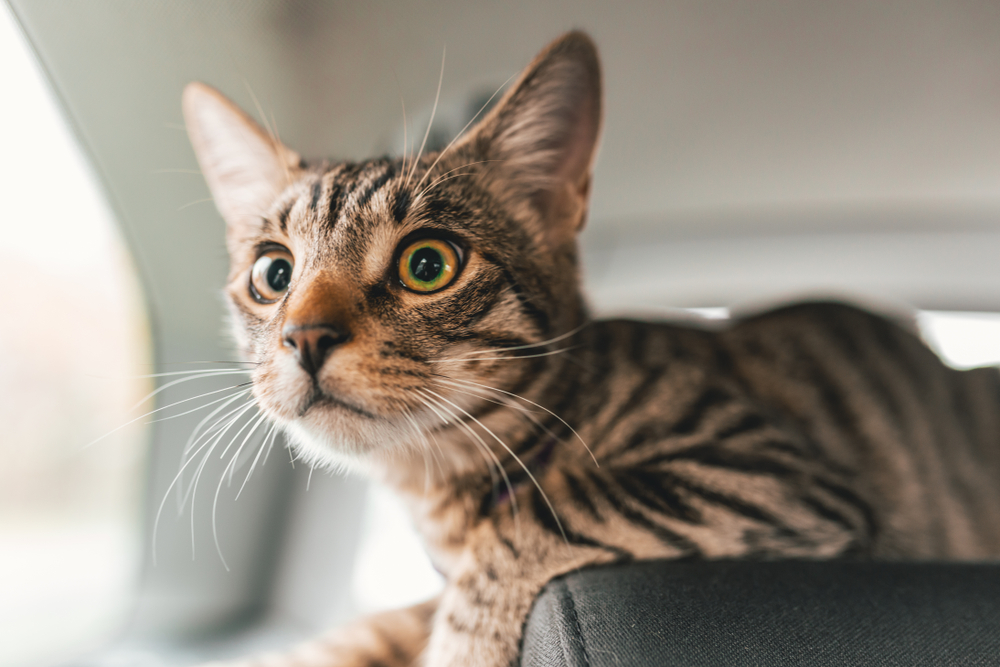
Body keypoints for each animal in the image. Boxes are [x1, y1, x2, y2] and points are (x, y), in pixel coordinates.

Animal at [184, 30, 1000, 667]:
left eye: (428, 264)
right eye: (273, 274)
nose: (304, 334)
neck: (438, 487)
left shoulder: (773, 475)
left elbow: (536, 517)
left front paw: (465, 641)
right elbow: (390, 618)